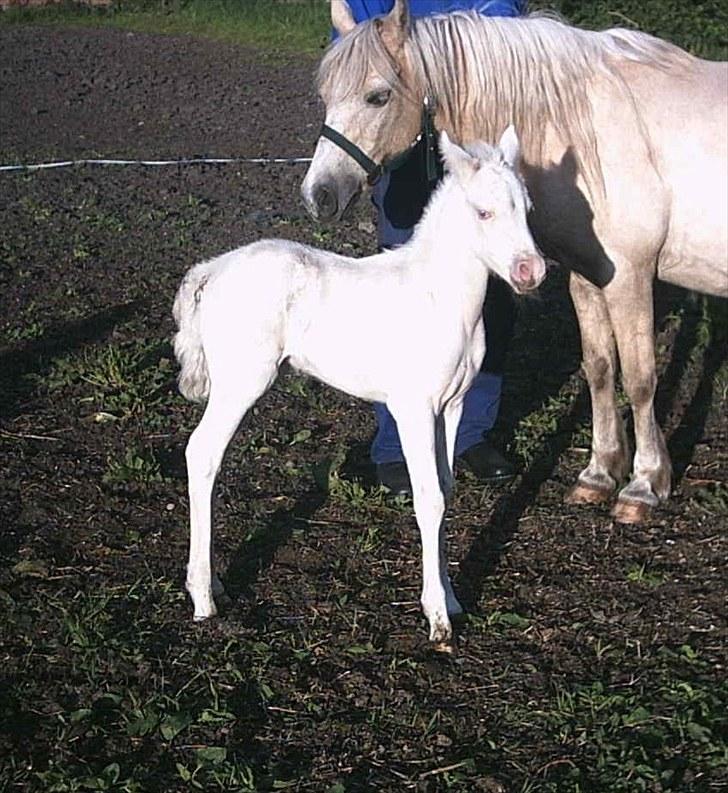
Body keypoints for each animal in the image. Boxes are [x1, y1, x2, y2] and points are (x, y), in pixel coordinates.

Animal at [174, 129, 545, 647]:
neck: (443, 298)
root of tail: (210, 271)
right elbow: (428, 498)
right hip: (241, 383)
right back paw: (204, 599)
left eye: (527, 210)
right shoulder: (412, 408)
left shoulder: (451, 406)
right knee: (202, 453)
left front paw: (452, 598)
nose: (532, 272)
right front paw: (438, 620)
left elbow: (447, 490)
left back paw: (216, 586)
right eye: (483, 212)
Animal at [302, 0, 728, 524]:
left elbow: (641, 378)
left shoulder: (631, 276)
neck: (585, 127)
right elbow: (600, 369)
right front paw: (598, 476)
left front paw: (644, 486)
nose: (319, 195)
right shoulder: (589, 277)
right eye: (326, 96)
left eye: (377, 96)